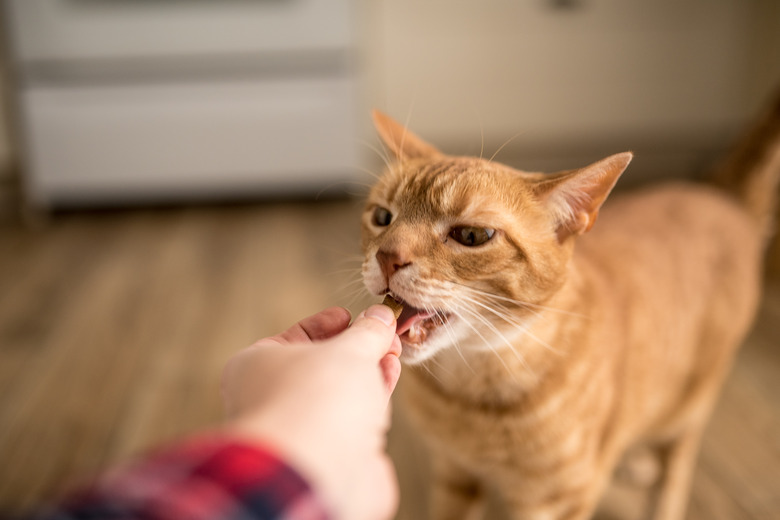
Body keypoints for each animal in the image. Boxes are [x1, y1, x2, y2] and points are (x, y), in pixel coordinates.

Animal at [362, 95, 780, 516]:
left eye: (472, 236)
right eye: (382, 217)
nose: (387, 256)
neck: (469, 394)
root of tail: (723, 197)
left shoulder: (556, 501)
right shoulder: (454, 474)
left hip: (690, 402)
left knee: (676, 465)